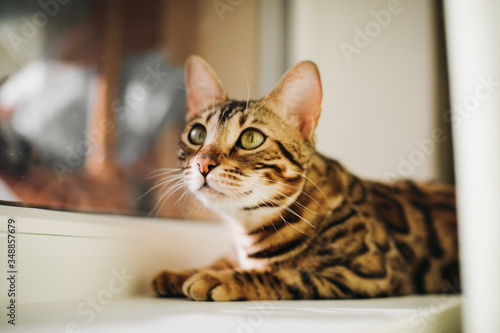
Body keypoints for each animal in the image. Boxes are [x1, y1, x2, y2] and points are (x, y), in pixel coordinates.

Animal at [151, 55, 458, 300]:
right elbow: (224, 260)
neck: (246, 230)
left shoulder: (369, 272)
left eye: (251, 138)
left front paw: (219, 278)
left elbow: (285, 274)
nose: (203, 163)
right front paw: (183, 273)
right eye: (197, 134)